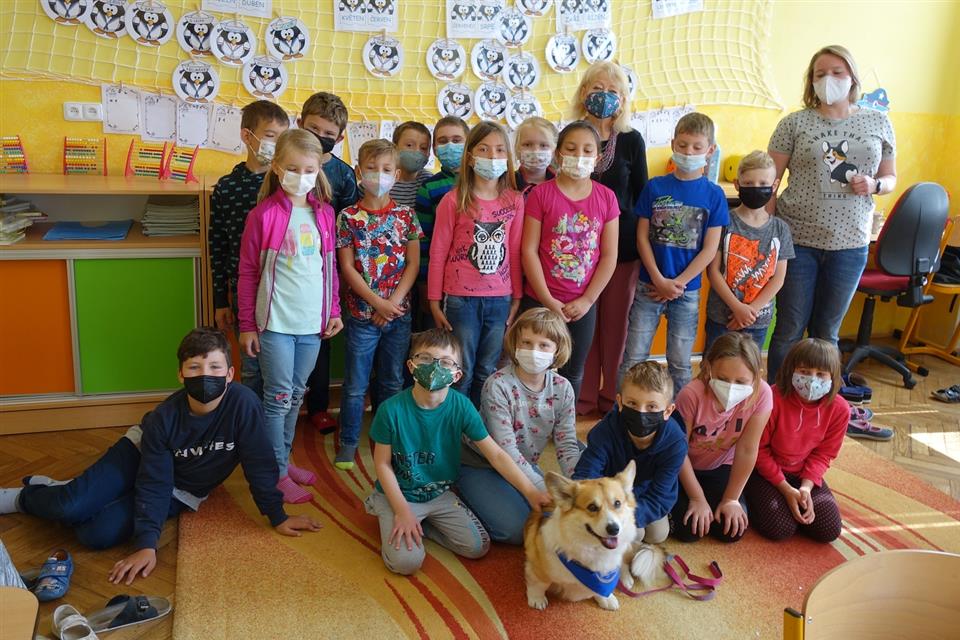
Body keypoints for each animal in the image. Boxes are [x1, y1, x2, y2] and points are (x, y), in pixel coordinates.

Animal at [524, 461, 647, 611]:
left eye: (617, 503)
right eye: (592, 507)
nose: (614, 529)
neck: (593, 549)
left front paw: (607, 599)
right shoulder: (539, 569)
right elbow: (539, 584)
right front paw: (537, 599)